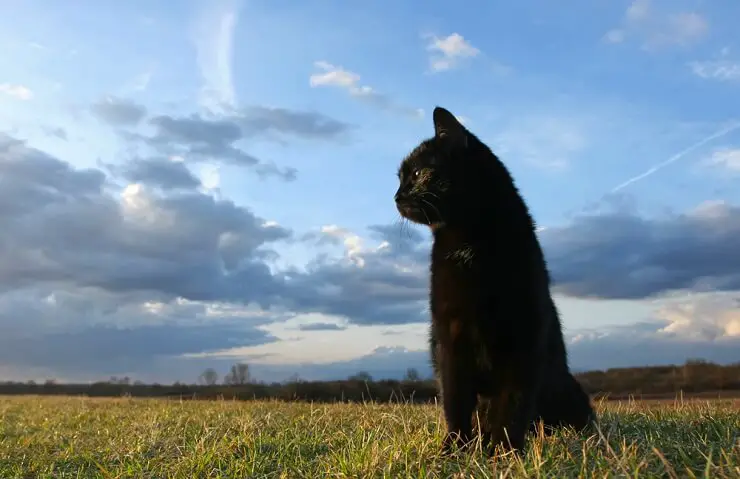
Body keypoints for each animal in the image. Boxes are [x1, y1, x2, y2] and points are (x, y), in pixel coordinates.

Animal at [394, 107, 596, 456]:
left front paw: (504, 451)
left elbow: (512, 402)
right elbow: (456, 401)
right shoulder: (449, 335)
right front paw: (455, 448)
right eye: (400, 177)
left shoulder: (526, 334)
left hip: (566, 390)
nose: (396, 196)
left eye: (417, 174)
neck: (467, 241)